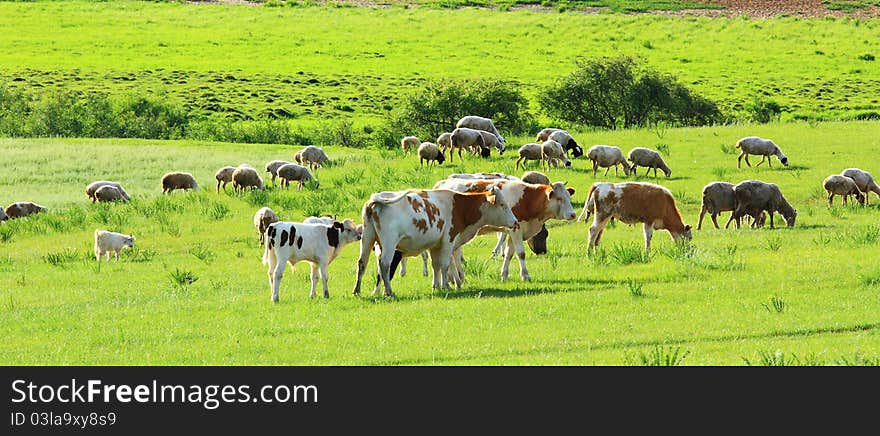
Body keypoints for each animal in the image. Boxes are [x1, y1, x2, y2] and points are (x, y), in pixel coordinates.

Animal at [352, 186, 520, 298]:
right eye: (503, 205)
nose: (515, 222)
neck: (459, 206)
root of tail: (375, 200)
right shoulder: (448, 240)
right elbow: (445, 265)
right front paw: (446, 286)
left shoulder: (435, 245)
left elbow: (436, 266)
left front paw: (436, 286)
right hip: (389, 243)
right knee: (385, 265)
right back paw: (389, 291)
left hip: (367, 239)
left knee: (362, 263)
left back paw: (357, 290)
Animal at [434, 177, 576, 282]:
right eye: (559, 198)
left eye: (569, 197)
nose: (573, 214)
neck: (527, 199)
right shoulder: (516, 230)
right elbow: (521, 253)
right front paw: (525, 275)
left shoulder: (513, 230)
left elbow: (509, 254)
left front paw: (504, 275)